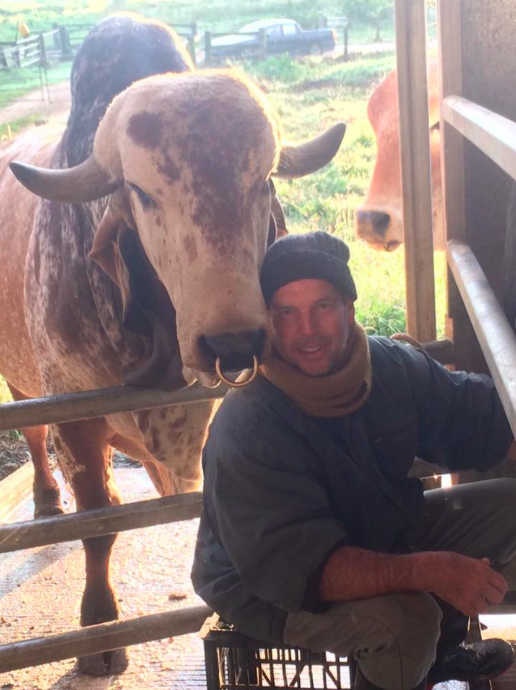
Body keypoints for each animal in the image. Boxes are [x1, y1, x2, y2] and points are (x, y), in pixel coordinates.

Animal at [0, 13, 346, 676]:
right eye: (141, 192)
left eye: (263, 180)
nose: (233, 340)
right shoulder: (73, 415)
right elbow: (99, 520)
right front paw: (99, 628)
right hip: (22, 383)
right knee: (32, 436)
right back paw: (47, 500)